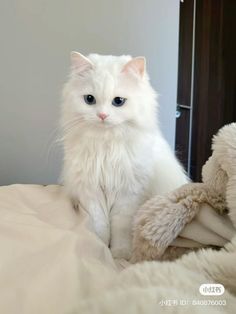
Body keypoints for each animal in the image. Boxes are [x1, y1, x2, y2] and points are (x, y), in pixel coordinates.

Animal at [60, 51, 188, 258]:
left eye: (118, 101)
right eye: (89, 99)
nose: (102, 116)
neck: (106, 145)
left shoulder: (128, 194)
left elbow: (120, 228)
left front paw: (120, 254)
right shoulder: (91, 192)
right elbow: (101, 227)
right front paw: (101, 248)